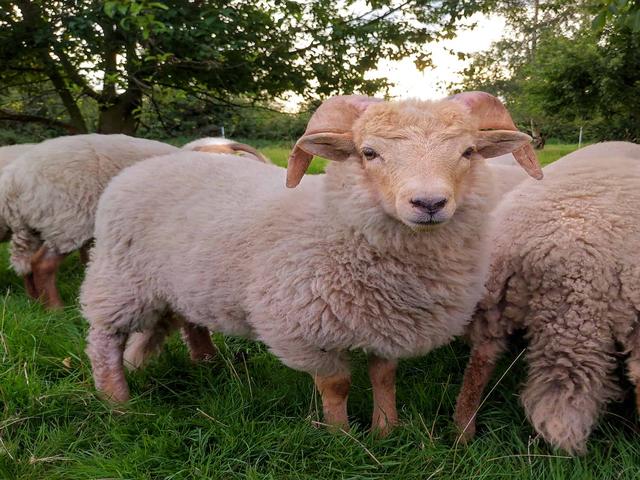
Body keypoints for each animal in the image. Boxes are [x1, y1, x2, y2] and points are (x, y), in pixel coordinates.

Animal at [81, 92, 541, 434]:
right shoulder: (304, 326)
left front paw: (385, 430)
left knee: (189, 320)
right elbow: (336, 385)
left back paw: (205, 361)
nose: (428, 203)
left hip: (181, 282)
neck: (336, 225)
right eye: (369, 152)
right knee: (104, 340)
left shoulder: (388, 321)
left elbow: (384, 375)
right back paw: (118, 403)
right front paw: (342, 437)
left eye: (468, 151)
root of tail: (154, 163)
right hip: (120, 278)